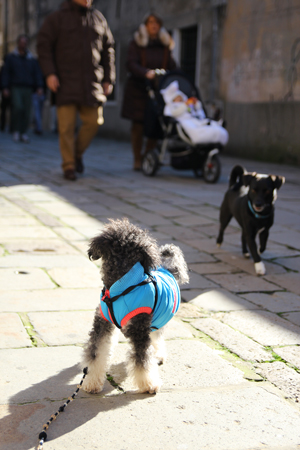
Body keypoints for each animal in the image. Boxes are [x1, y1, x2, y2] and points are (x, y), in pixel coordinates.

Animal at [81, 218, 190, 394]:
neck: (120, 287)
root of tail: (168, 270)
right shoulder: (102, 324)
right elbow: (95, 354)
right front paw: (91, 382)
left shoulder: (140, 329)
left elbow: (142, 360)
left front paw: (149, 384)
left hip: (158, 319)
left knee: (157, 338)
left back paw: (158, 355)